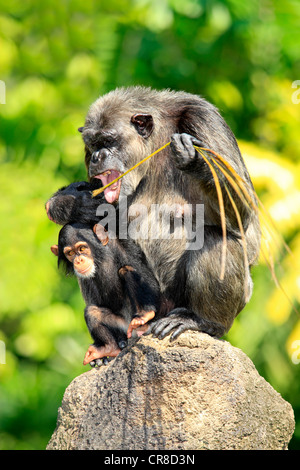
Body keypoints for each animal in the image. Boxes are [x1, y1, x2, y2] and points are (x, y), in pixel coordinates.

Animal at [79, 86, 260, 340]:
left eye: (108, 140)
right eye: (93, 144)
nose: (97, 156)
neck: (156, 142)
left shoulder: (206, 122)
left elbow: (244, 216)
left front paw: (194, 157)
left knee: (216, 238)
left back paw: (199, 320)